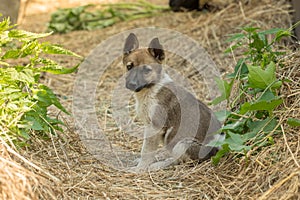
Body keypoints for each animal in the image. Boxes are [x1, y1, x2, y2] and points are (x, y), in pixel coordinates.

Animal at [123, 33, 224, 172]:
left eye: (146, 70)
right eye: (129, 67)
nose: (131, 84)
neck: (152, 88)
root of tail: (220, 147)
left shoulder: (154, 127)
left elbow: (146, 151)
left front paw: (140, 169)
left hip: (182, 144)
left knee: (181, 161)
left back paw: (159, 165)